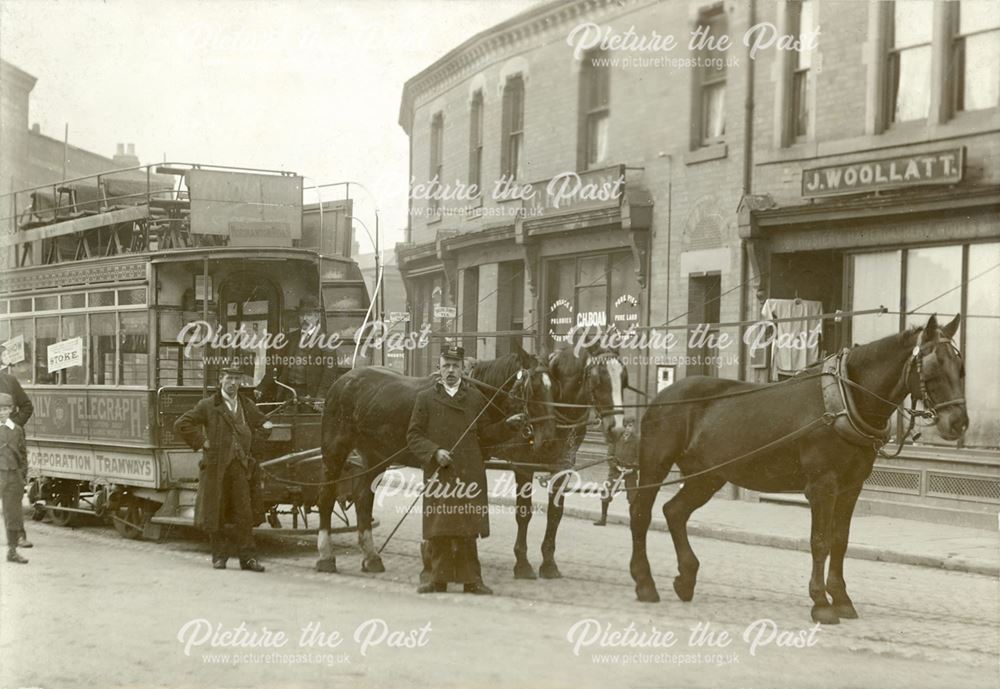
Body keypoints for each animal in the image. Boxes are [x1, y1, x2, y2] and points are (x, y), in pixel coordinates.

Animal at [316, 346, 560, 572]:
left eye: (552, 387)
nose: (550, 440)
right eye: (533, 388)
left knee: (363, 498)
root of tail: (342, 381)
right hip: (334, 451)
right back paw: (326, 556)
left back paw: (372, 557)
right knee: (327, 496)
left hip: (376, 455)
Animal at [632, 318, 968, 624]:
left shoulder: (851, 486)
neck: (844, 400)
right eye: (933, 368)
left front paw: (841, 598)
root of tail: (663, 394)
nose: (958, 423)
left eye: (961, 367)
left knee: (675, 511)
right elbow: (819, 541)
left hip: (707, 475)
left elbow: (840, 540)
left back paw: (686, 578)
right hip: (655, 463)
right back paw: (645, 582)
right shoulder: (822, 485)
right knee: (641, 513)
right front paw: (821, 602)